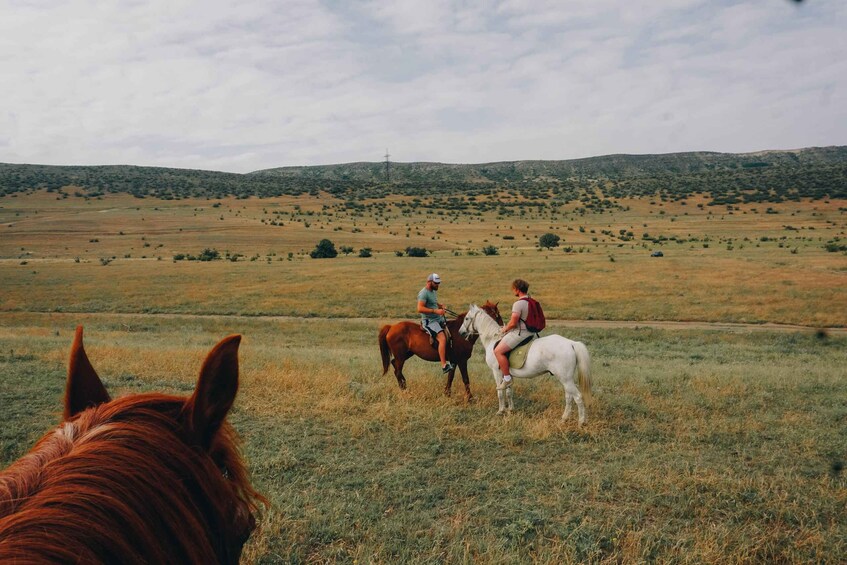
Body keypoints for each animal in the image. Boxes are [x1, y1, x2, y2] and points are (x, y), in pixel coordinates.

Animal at [460, 304, 592, 424]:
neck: (493, 340)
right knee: (569, 397)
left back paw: (581, 422)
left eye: (466, 318)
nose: (460, 332)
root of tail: (571, 343)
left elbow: (500, 392)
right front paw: (510, 410)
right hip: (565, 379)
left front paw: (501, 411)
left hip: (565, 379)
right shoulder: (507, 375)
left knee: (578, 397)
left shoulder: (496, 371)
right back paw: (564, 418)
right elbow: (509, 391)